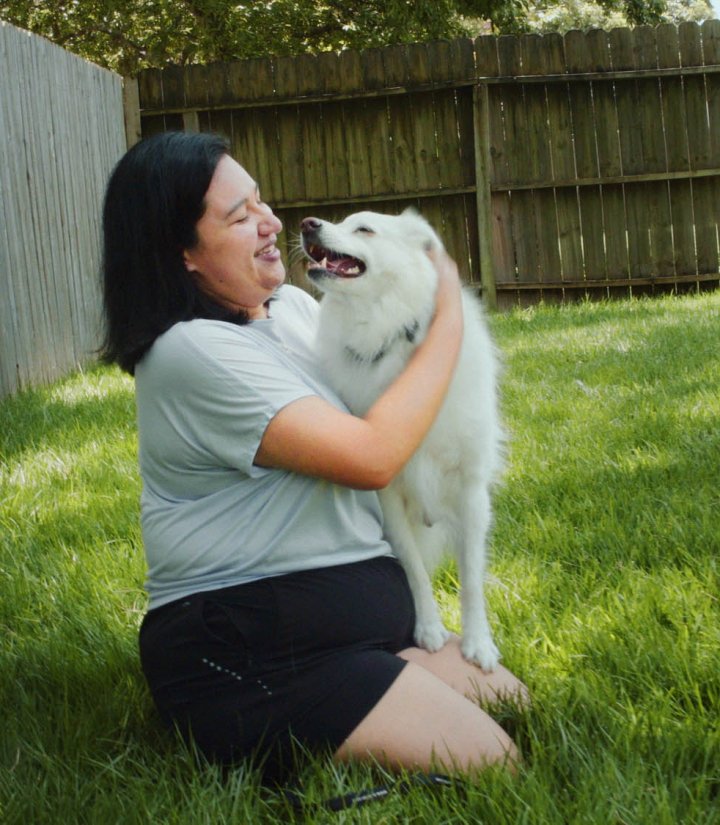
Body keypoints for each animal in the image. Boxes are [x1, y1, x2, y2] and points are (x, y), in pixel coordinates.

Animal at [300, 208, 504, 668]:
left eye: (364, 229)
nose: (307, 224)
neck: (388, 332)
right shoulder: (388, 494)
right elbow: (413, 569)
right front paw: (428, 629)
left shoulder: (470, 491)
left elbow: (471, 576)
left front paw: (478, 643)